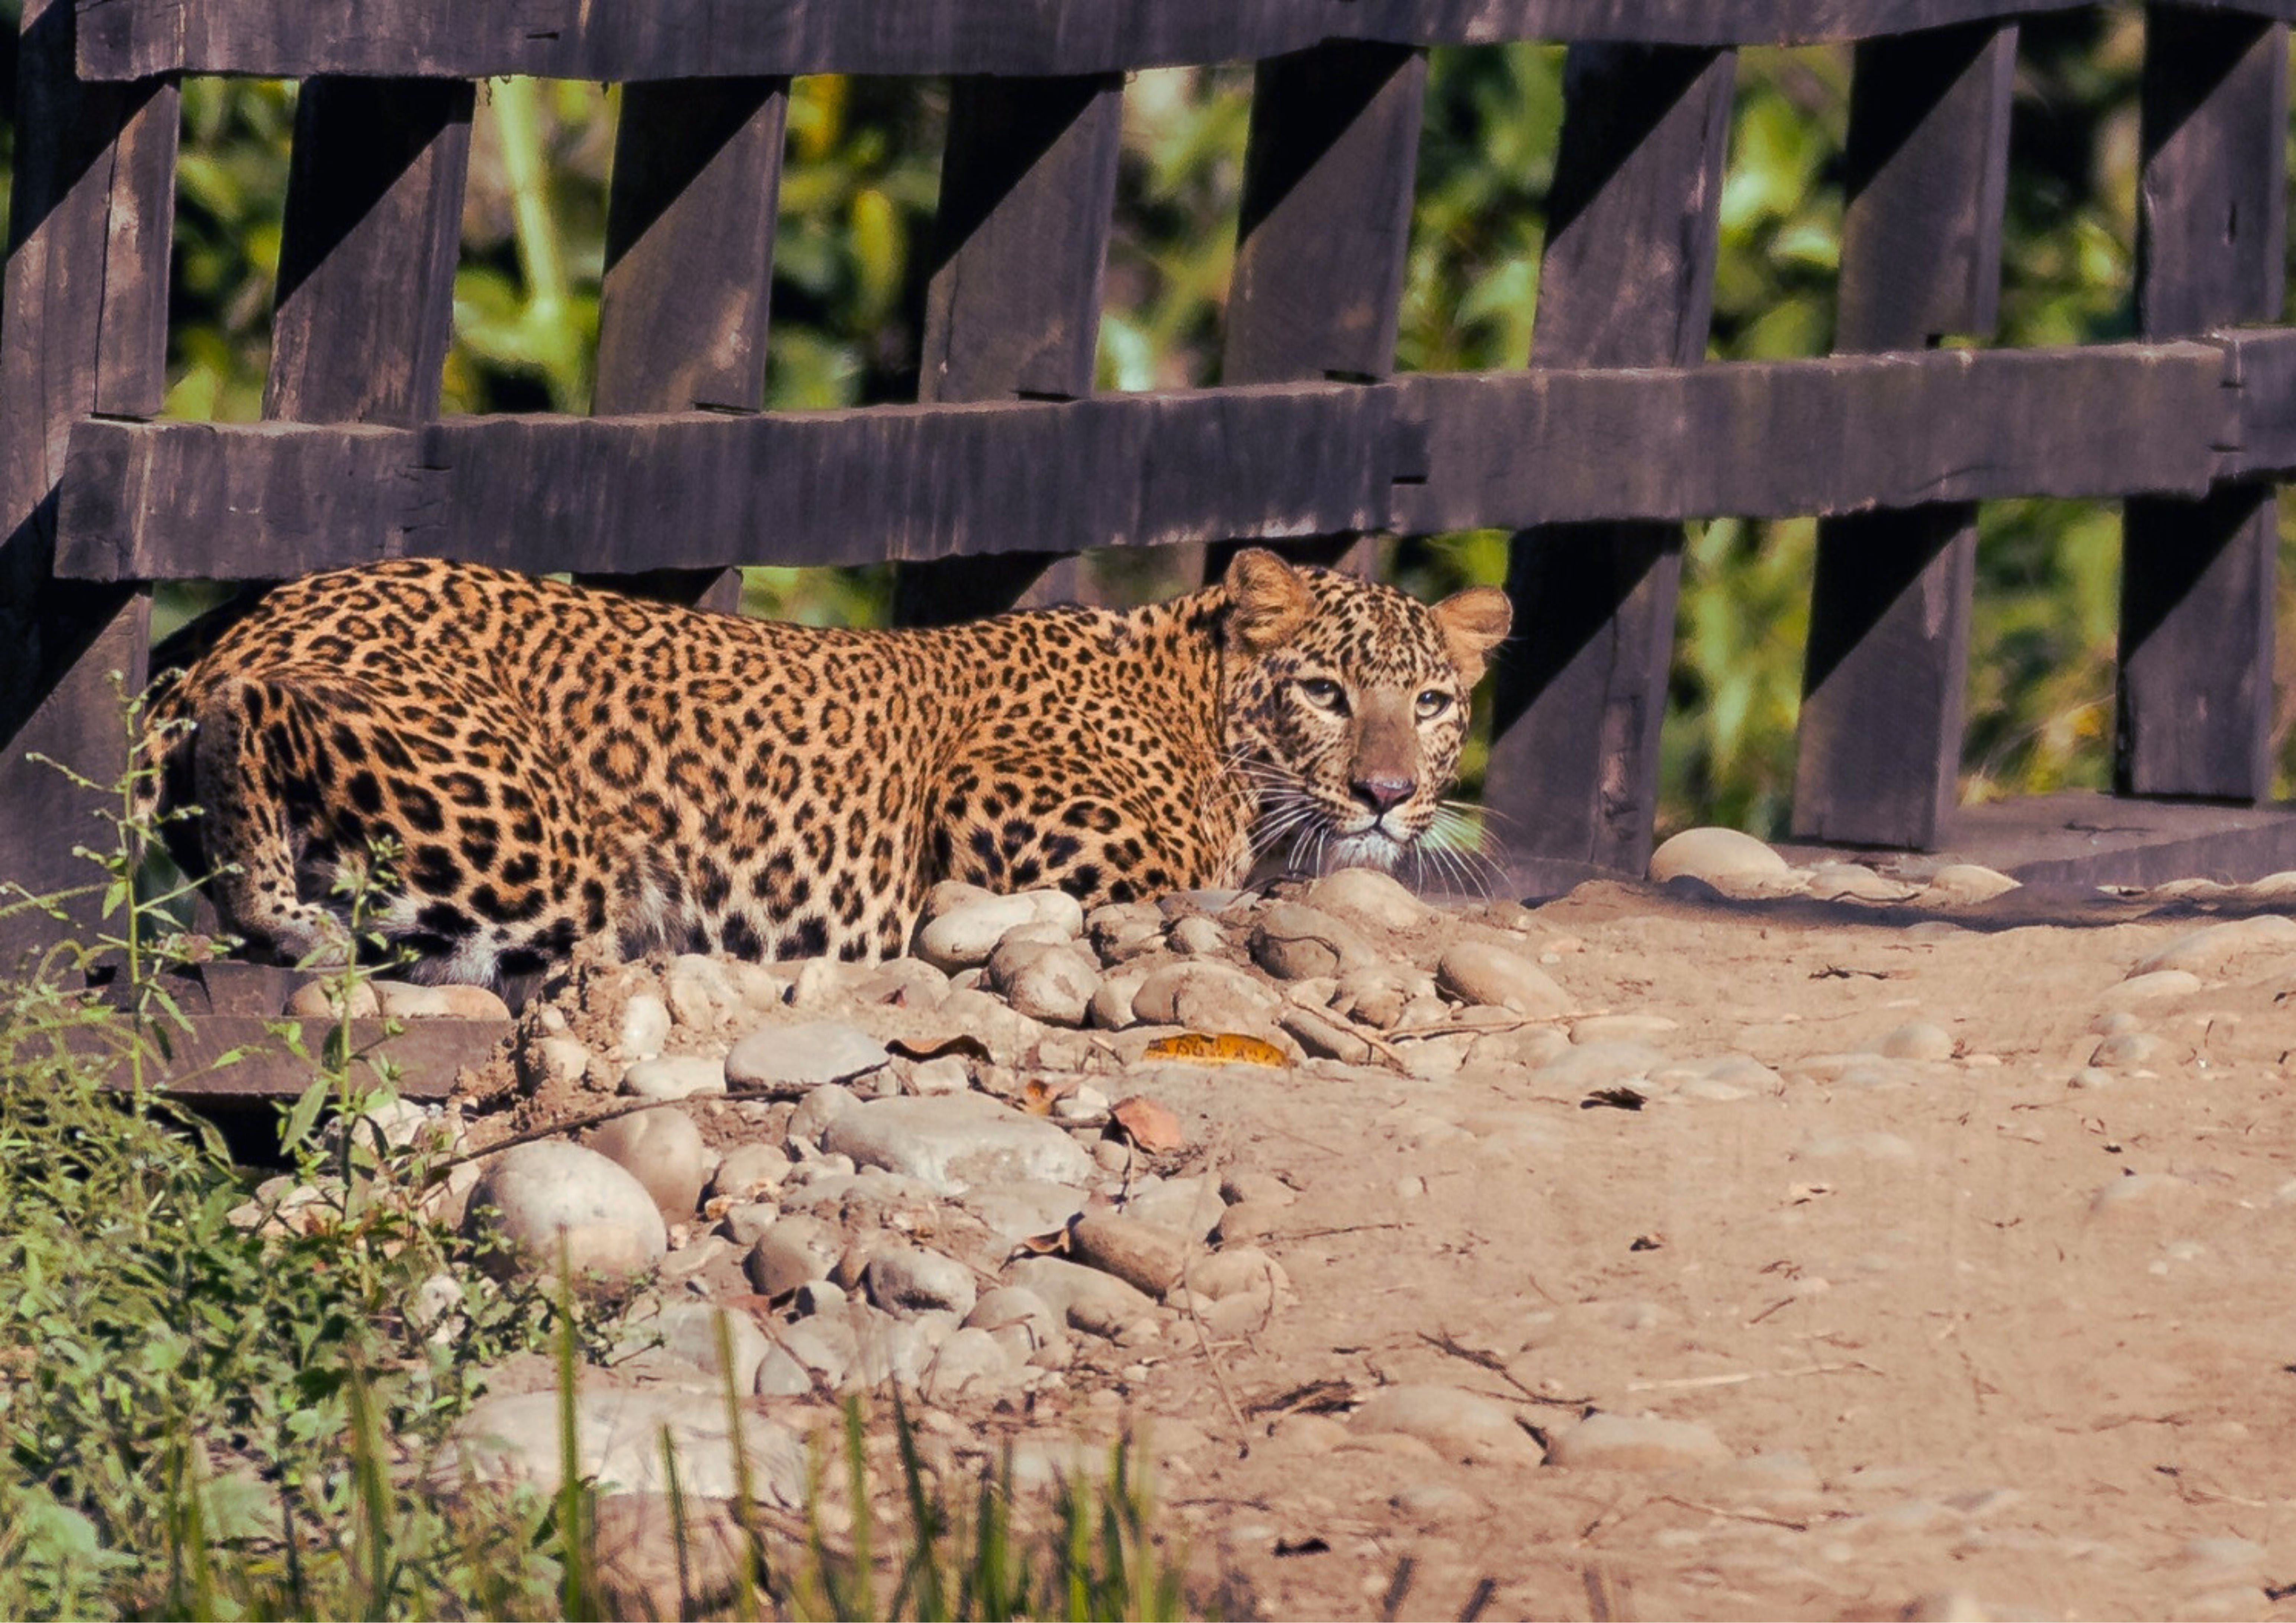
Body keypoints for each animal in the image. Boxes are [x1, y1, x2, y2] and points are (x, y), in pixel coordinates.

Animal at [142, 548, 1512, 991]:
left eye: (1430, 704)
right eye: (1326, 693)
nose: (1388, 795)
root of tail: (264, 616)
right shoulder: (997, 801)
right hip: (545, 840)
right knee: (260, 715)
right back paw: (277, 903)